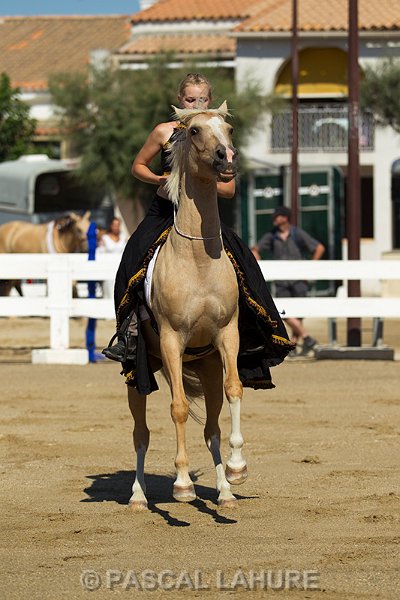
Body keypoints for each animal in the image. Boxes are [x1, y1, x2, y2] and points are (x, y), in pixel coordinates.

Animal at [128, 102, 245, 511]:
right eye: (193, 131)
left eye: (228, 128)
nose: (227, 158)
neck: (196, 259)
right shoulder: (171, 340)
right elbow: (177, 408)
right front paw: (181, 484)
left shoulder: (227, 335)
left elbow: (235, 389)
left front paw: (237, 468)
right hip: (139, 373)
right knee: (141, 433)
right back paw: (138, 496)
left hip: (206, 367)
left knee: (211, 429)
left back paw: (225, 492)